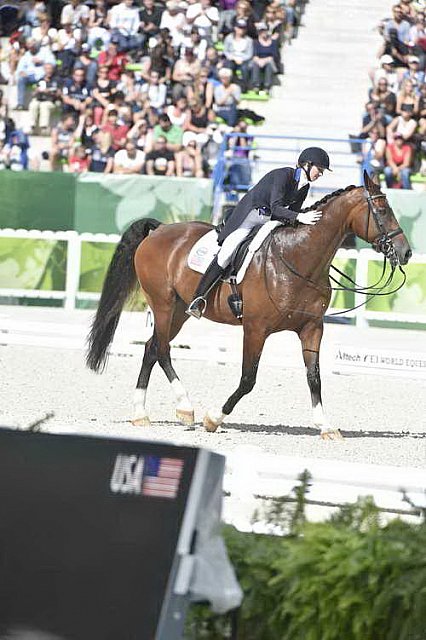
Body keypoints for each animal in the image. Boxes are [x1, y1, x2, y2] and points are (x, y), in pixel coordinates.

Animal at [85, 170, 412, 440]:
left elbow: (314, 377)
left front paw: (326, 427)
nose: (406, 253)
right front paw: (213, 419)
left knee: (151, 348)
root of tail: (160, 229)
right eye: (382, 210)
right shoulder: (255, 329)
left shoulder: (311, 327)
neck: (298, 258)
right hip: (163, 304)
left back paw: (141, 414)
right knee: (163, 350)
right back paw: (186, 409)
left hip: (179, 311)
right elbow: (247, 379)